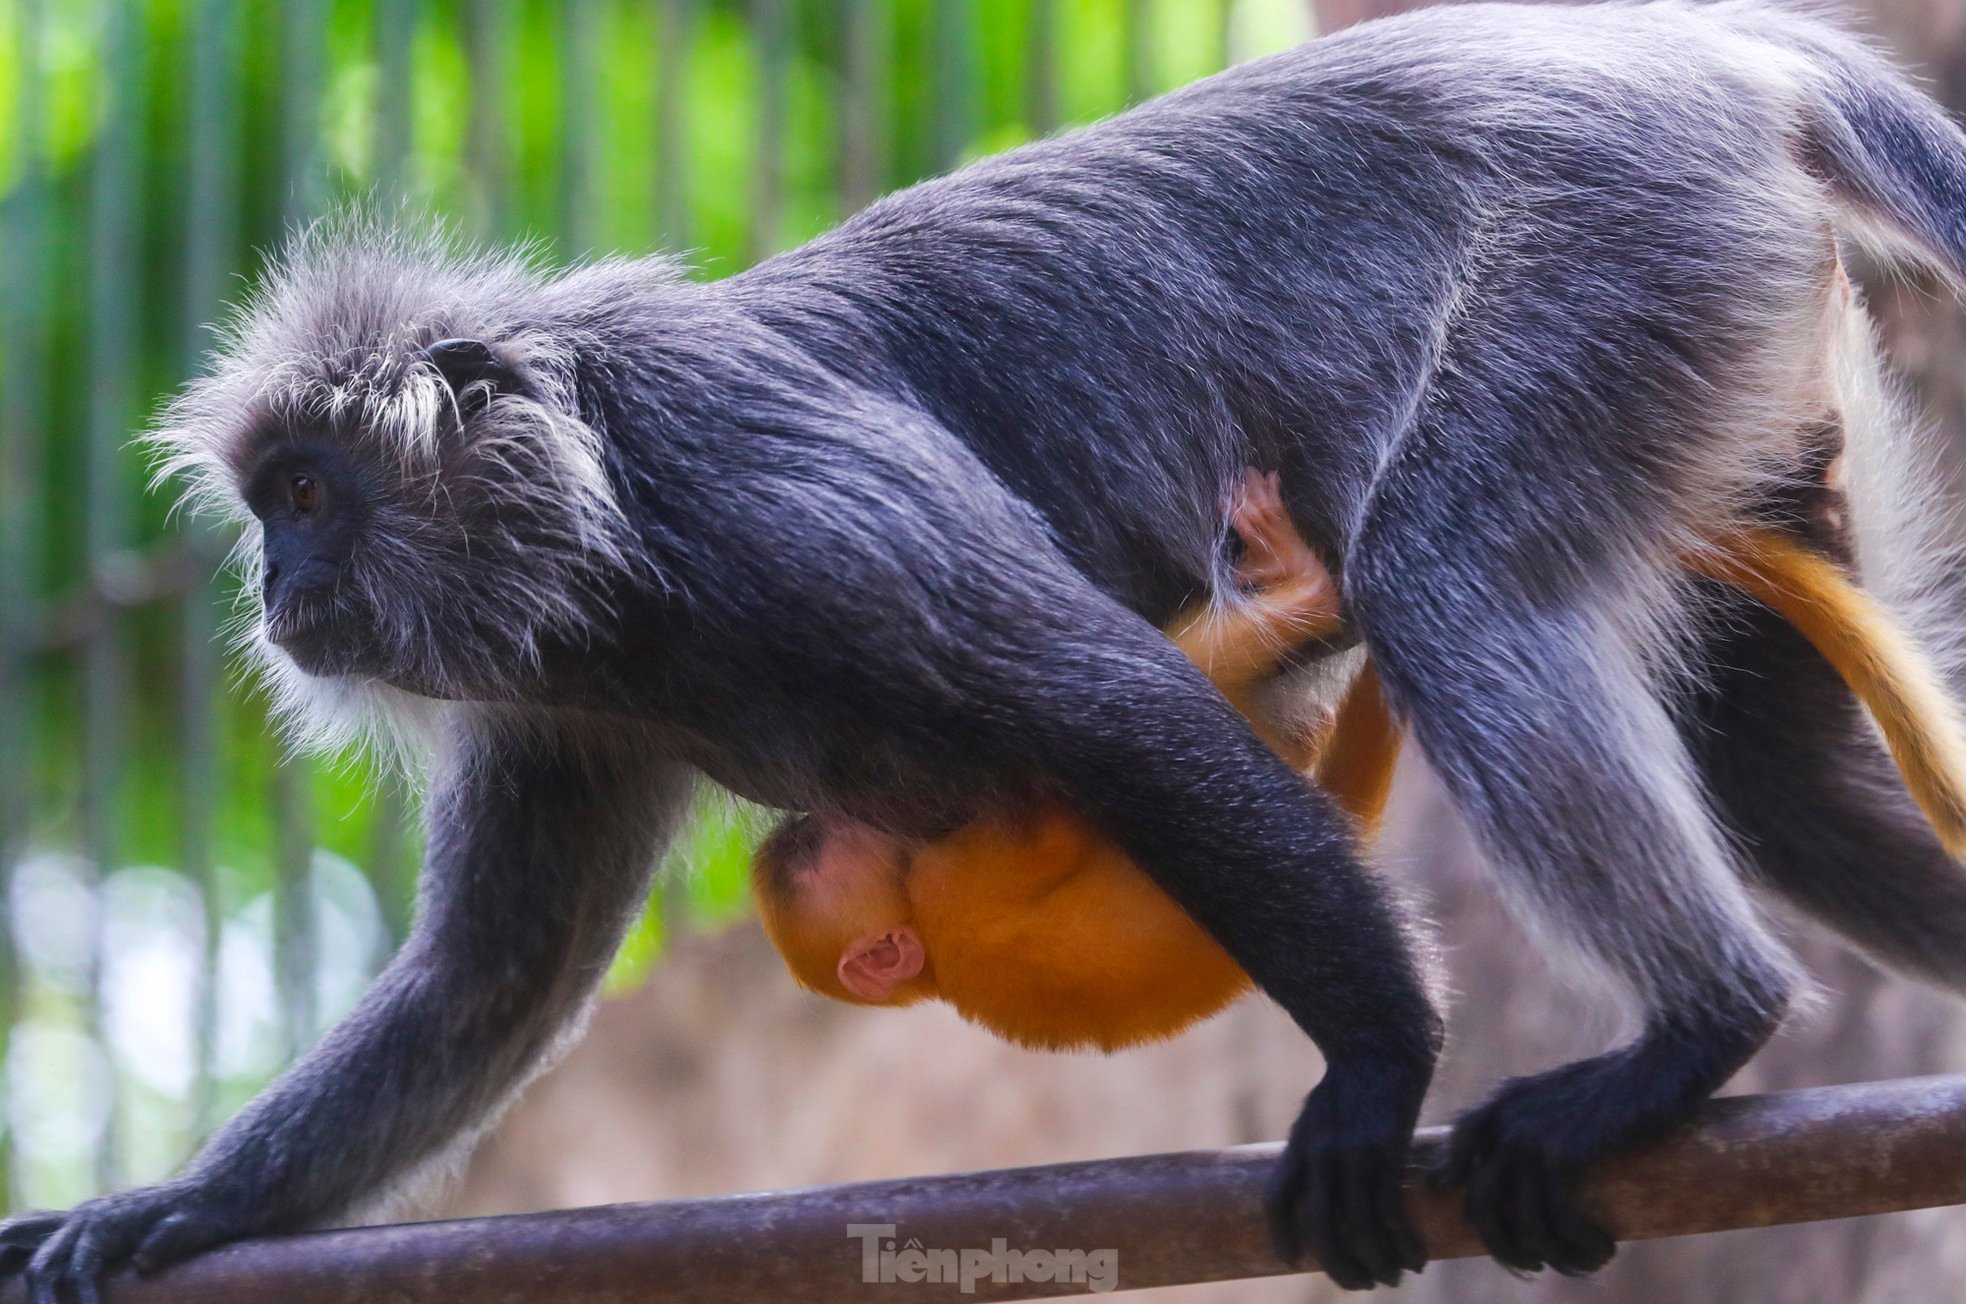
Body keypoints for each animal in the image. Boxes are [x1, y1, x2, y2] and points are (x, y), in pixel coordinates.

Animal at [754, 474, 1966, 1054]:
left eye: (830, 830)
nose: (835, 813)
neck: (924, 947)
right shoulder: (959, 883)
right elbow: (1075, 786)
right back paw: (1304, 590)